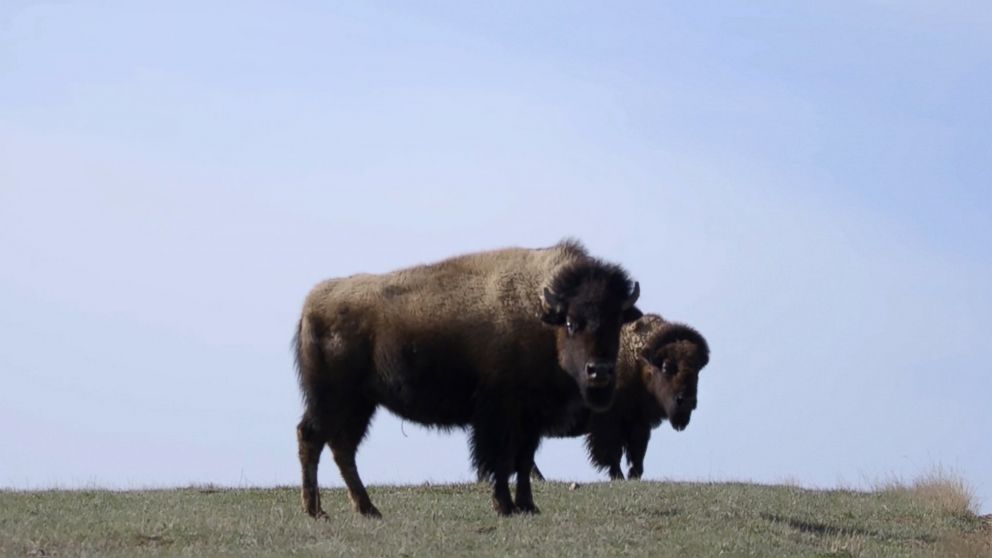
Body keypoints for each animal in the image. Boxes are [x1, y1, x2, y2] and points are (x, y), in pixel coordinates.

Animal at [290, 241, 640, 520]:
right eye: (571, 322)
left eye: (615, 321)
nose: (599, 371)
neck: (540, 313)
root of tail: (311, 306)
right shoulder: (500, 414)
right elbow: (501, 460)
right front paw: (504, 506)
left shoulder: (531, 418)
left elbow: (524, 460)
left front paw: (527, 506)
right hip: (332, 399)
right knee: (312, 437)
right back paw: (316, 511)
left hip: (360, 405)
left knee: (341, 448)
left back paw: (366, 509)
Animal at [532, 316, 708, 482]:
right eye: (666, 367)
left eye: (697, 370)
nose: (686, 401)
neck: (637, 359)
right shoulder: (609, 422)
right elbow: (611, 453)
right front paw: (619, 476)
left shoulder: (638, 423)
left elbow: (638, 454)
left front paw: (633, 475)